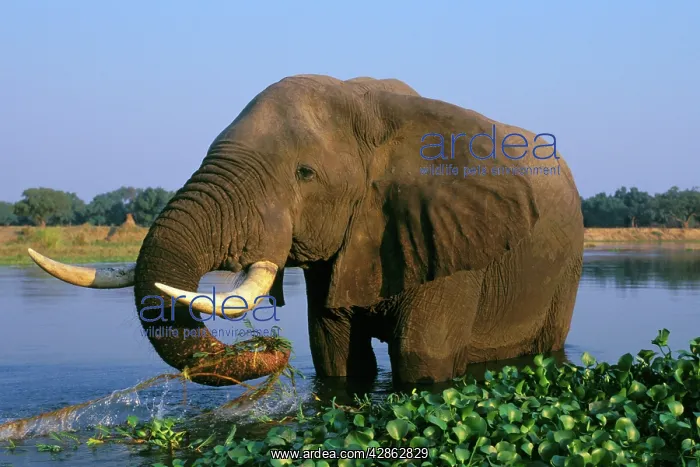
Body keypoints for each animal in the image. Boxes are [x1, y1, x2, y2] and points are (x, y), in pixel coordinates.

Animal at [28, 74, 584, 387]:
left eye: (304, 173)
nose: (273, 349)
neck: (370, 106)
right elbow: (336, 355)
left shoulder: (450, 244)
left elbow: (421, 363)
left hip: (567, 267)